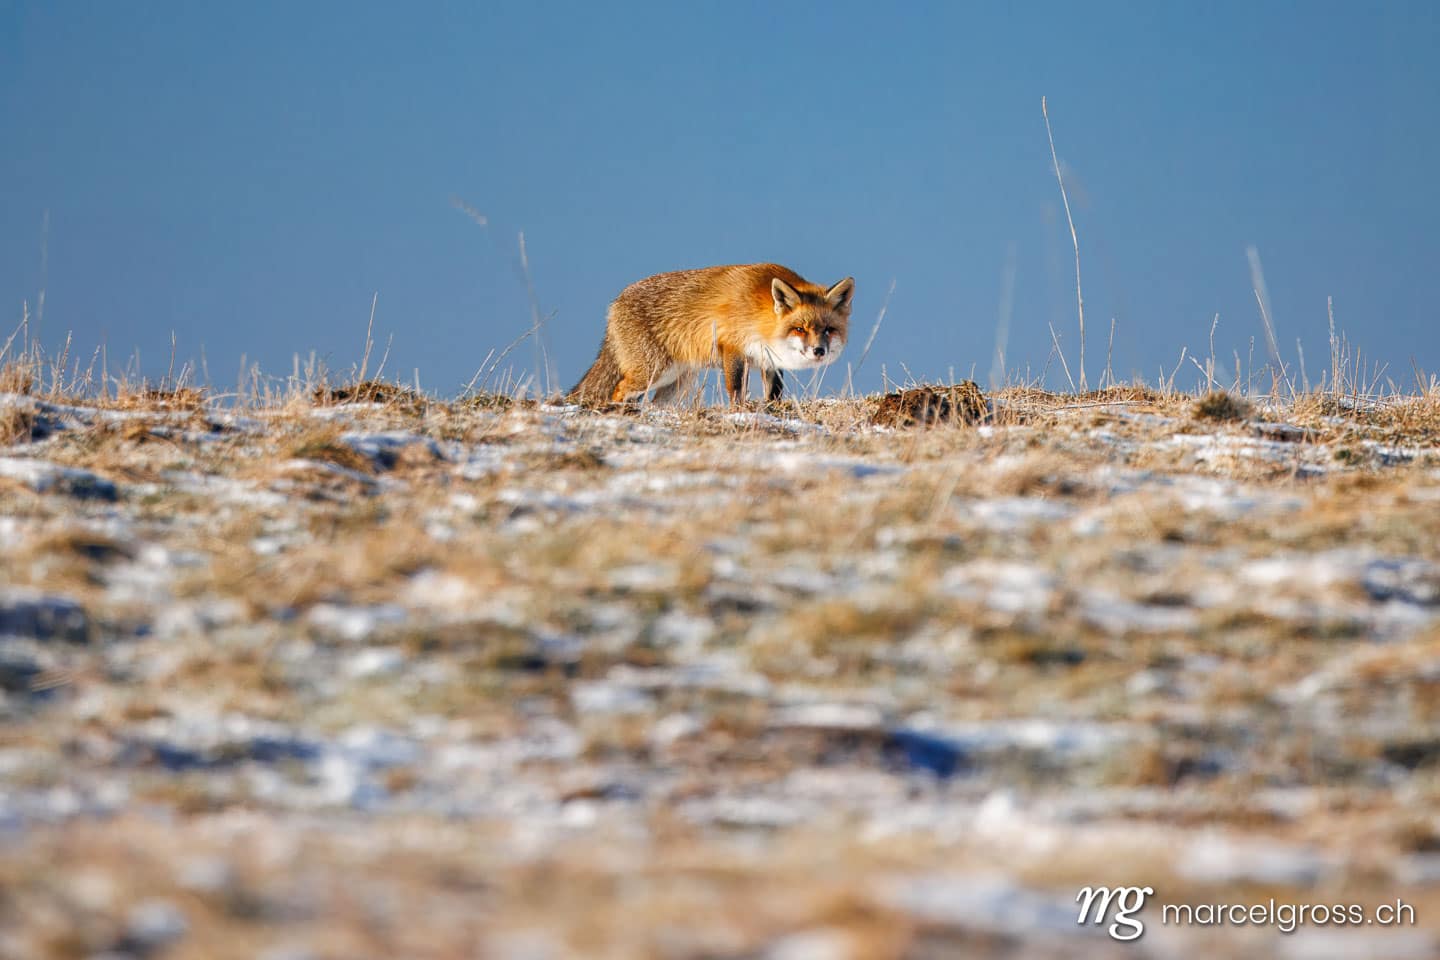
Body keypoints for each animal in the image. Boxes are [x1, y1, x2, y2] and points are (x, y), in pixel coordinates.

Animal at [567, 264, 854, 406]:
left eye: (828, 330)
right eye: (800, 329)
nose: (819, 351)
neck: (760, 315)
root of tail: (614, 304)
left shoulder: (768, 360)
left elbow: (773, 393)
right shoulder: (733, 348)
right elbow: (736, 389)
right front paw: (739, 413)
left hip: (677, 382)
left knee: (654, 404)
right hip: (652, 372)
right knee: (619, 389)